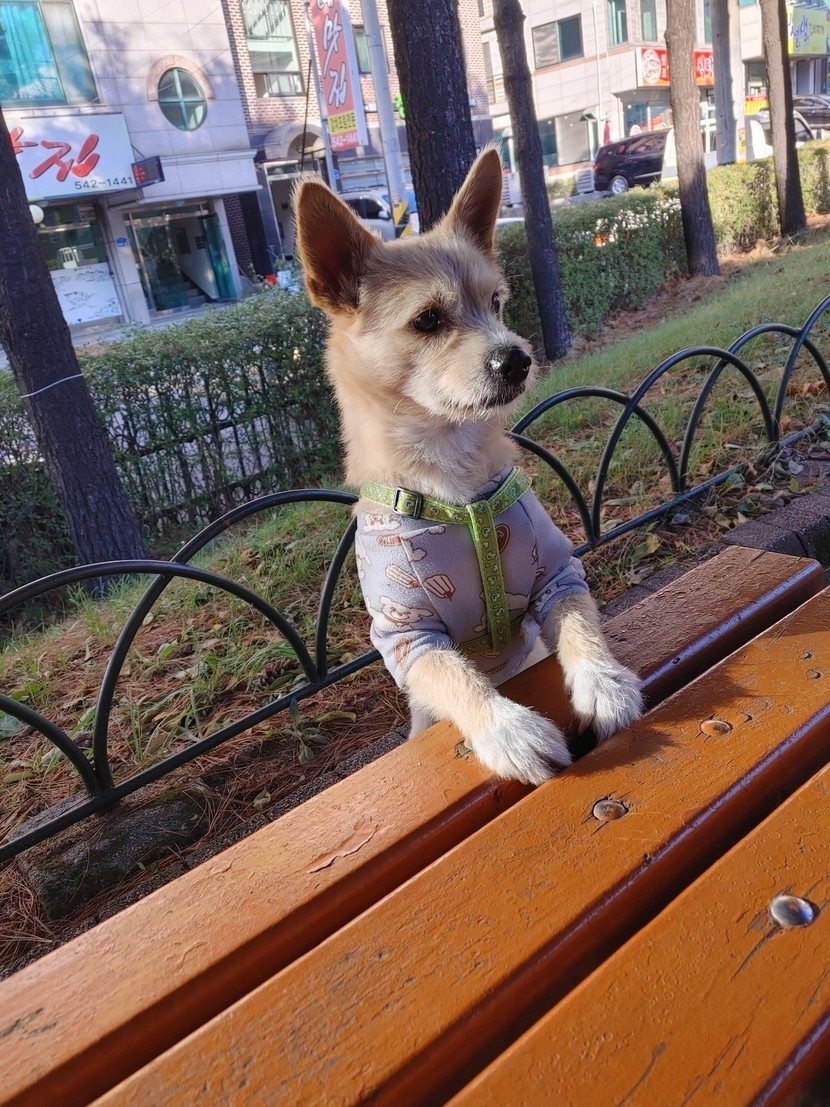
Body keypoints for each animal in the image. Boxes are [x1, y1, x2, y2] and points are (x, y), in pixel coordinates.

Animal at [293, 146, 642, 785]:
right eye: (428, 320)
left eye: (497, 302)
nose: (517, 358)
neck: (456, 486)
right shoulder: (409, 638)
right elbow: (455, 675)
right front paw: (507, 729)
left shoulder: (558, 574)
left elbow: (583, 629)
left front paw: (604, 685)